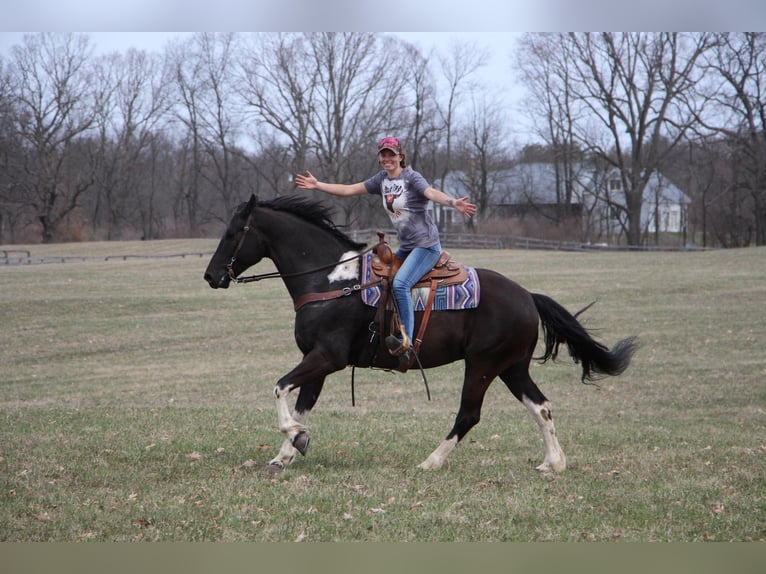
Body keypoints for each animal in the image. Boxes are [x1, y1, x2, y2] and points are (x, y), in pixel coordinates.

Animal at [202, 196, 636, 474]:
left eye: (232, 232)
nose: (210, 275)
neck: (332, 281)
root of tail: (528, 296)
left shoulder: (326, 358)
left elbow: (279, 389)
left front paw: (294, 436)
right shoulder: (318, 363)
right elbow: (301, 404)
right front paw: (287, 453)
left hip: (483, 365)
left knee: (469, 414)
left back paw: (431, 461)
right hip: (512, 367)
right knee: (541, 407)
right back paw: (553, 463)